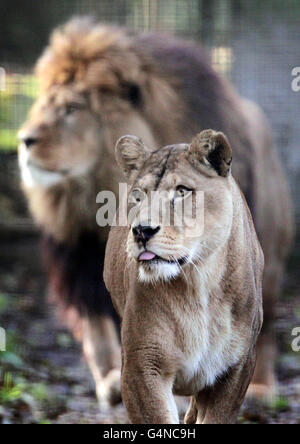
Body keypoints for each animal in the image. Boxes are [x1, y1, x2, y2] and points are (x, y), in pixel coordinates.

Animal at [104, 130, 264, 424]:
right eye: (138, 195)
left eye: (182, 192)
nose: (142, 231)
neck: (198, 283)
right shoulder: (141, 365)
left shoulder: (237, 367)